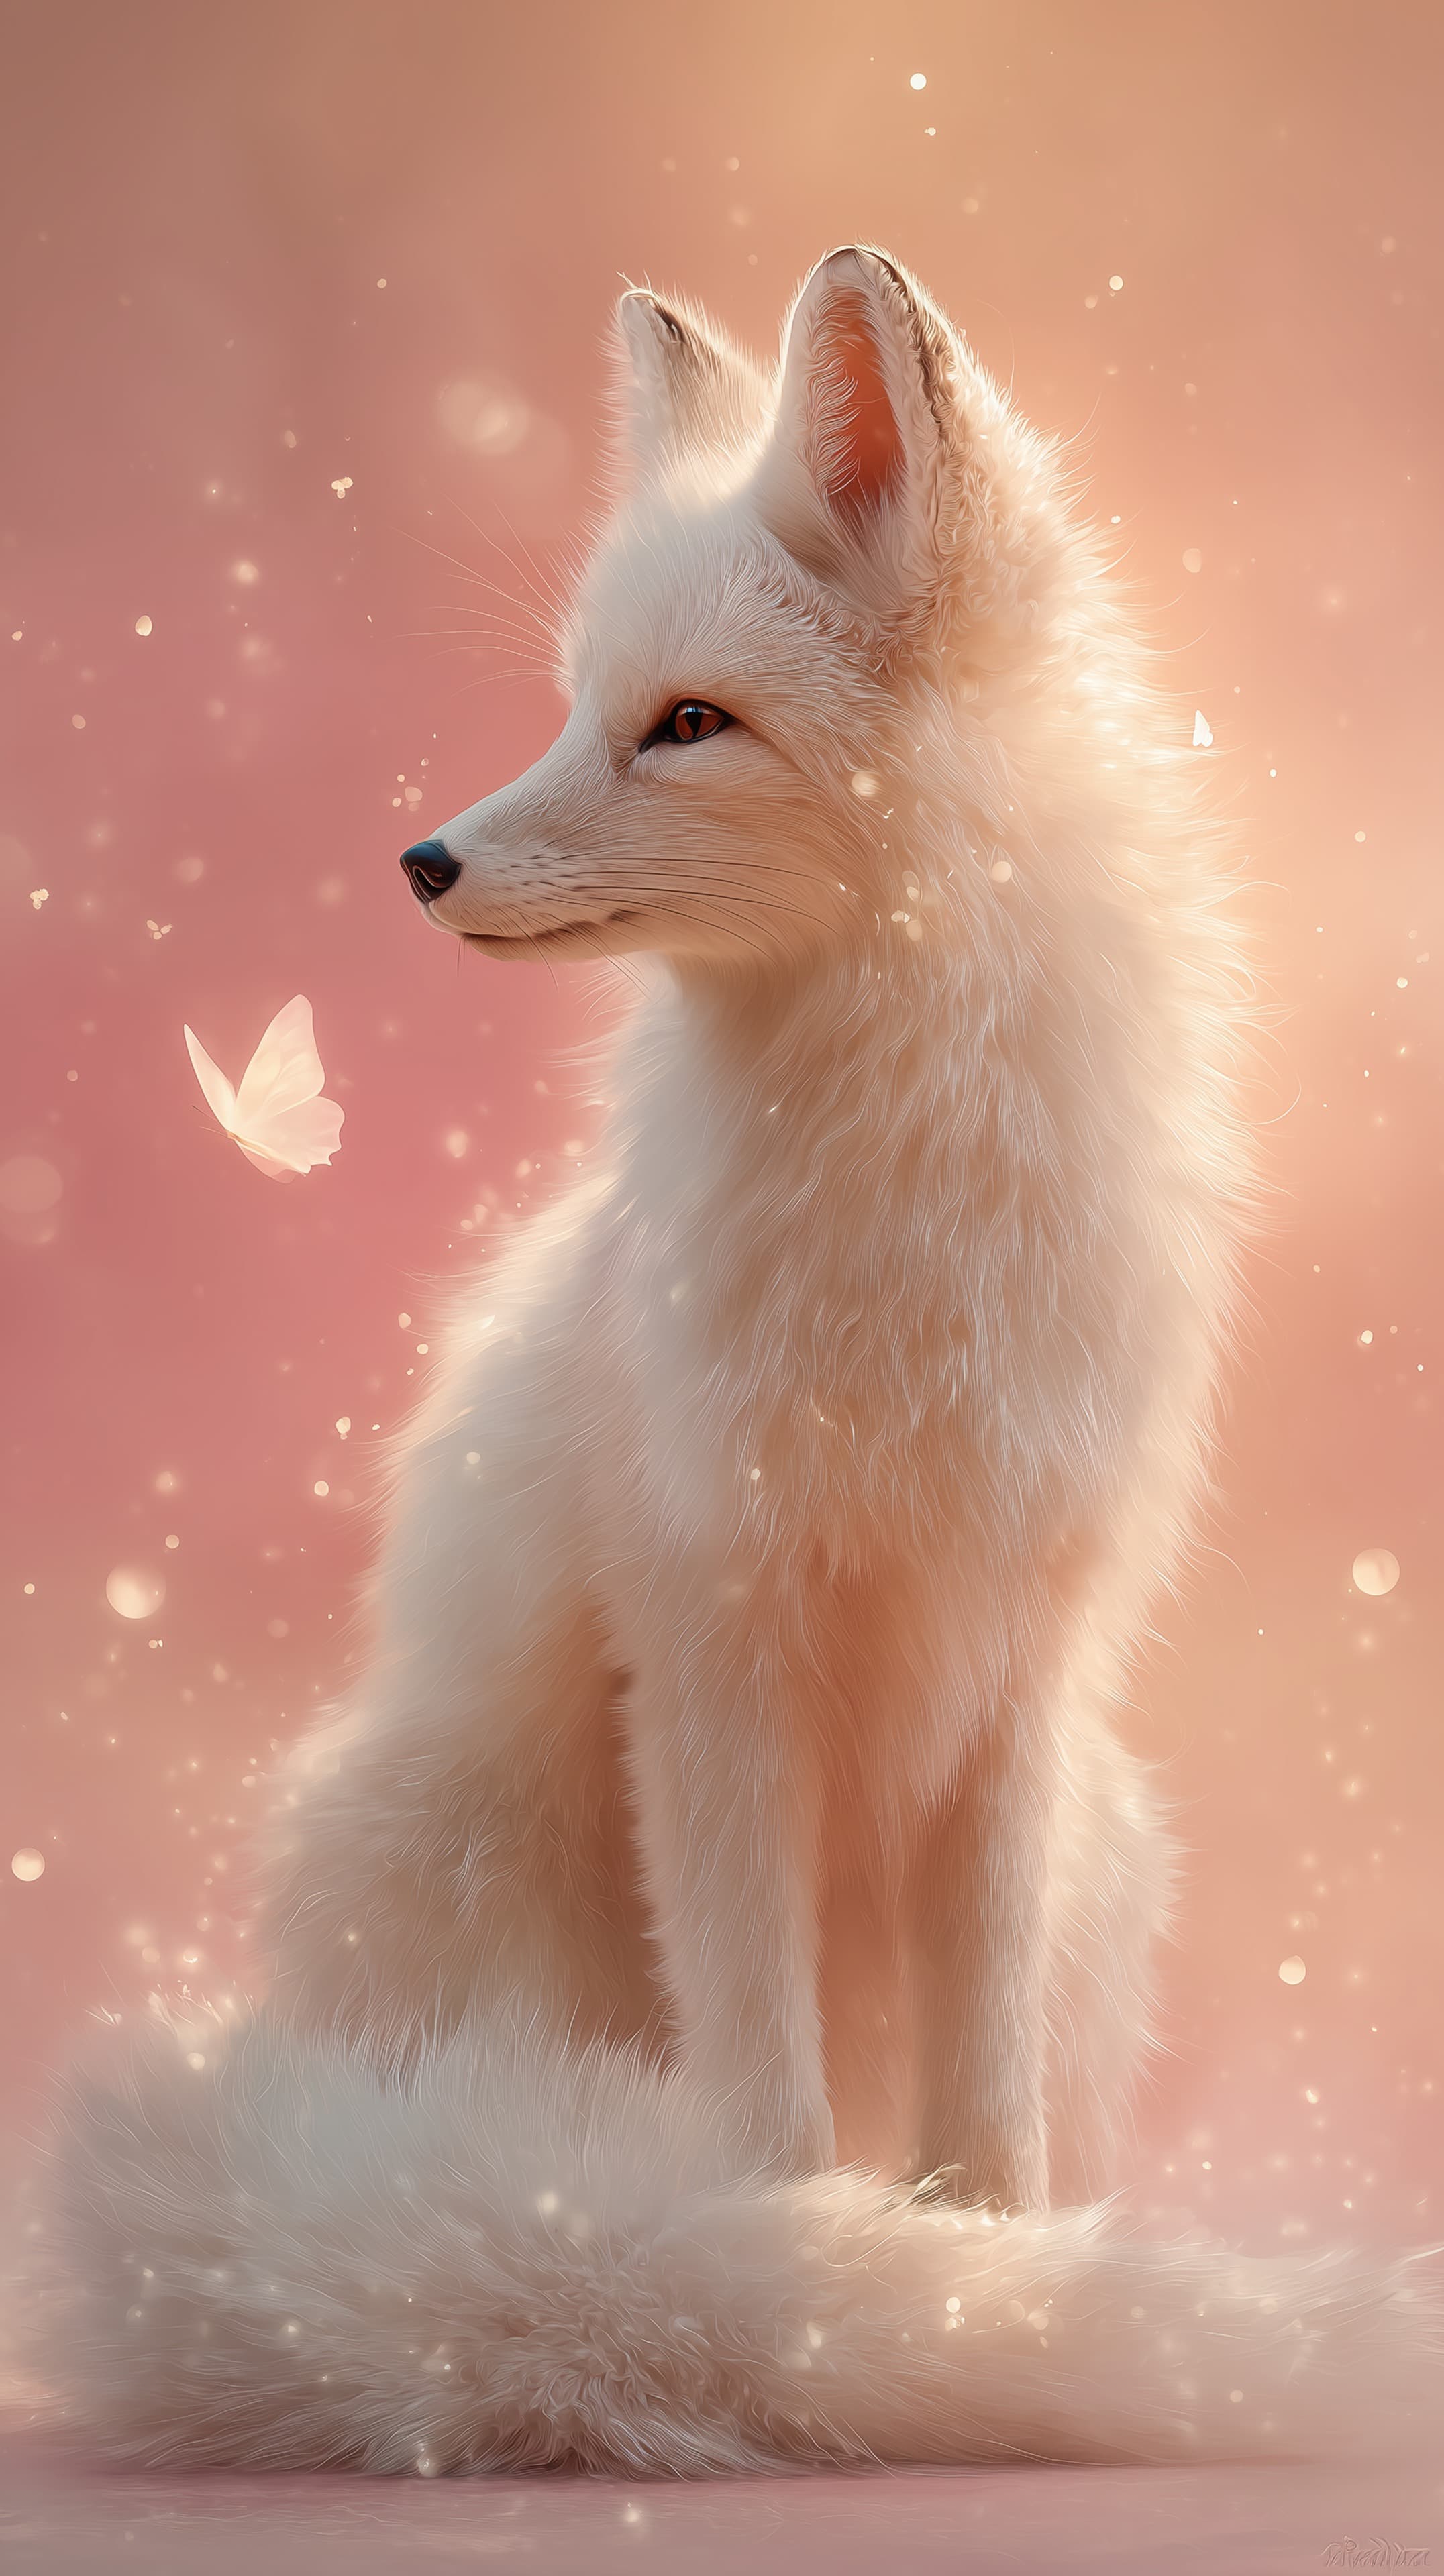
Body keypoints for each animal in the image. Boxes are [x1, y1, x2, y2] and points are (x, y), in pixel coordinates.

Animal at [30, 247, 1440, 2473]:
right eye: (573, 701)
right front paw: (804, 2286)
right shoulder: (710, 1647)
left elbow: (986, 2099)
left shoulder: (1022, 1676)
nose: (419, 860)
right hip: (475, 1841)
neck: (900, 1206)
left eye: (686, 724)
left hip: (1108, 1849)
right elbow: (763, 2074)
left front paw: (984, 2271)